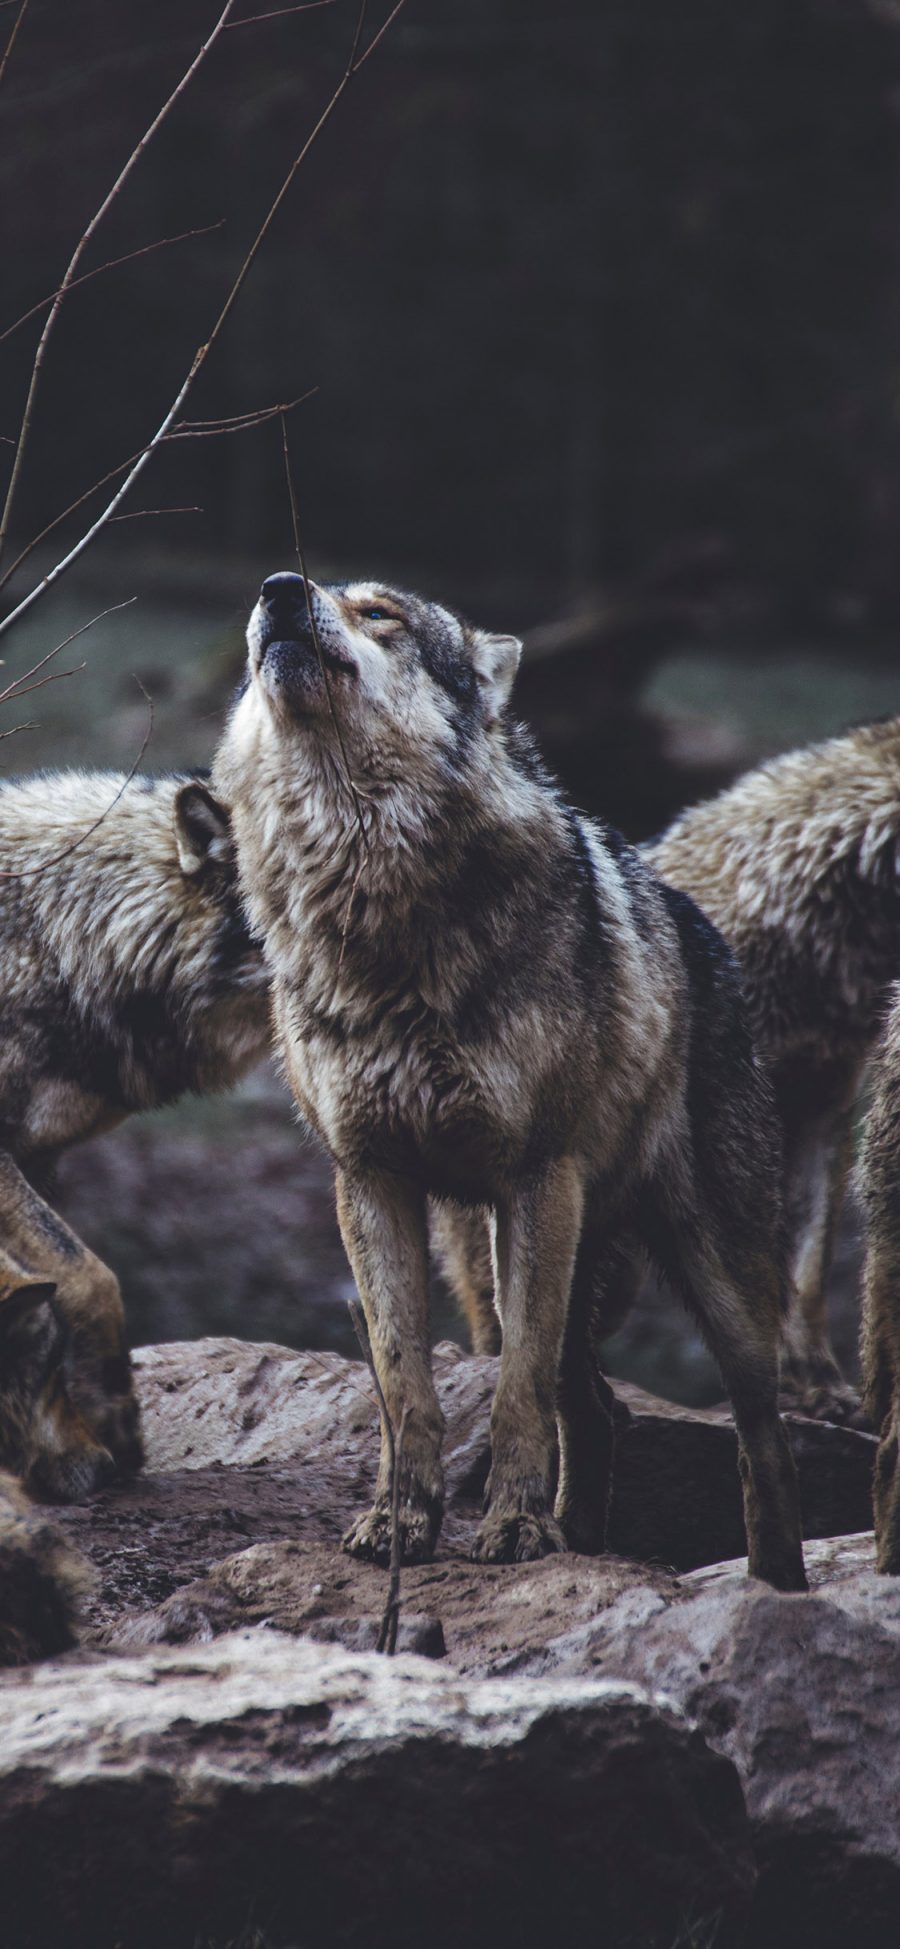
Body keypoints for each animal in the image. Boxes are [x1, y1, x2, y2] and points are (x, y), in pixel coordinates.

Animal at [218, 569, 810, 1590]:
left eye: (381, 614)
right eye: (301, 591)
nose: (280, 588)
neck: (371, 903)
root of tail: (699, 922)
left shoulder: (536, 1176)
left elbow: (515, 1391)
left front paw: (515, 1529)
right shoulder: (369, 1180)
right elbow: (404, 1383)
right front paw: (402, 1522)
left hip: (710, 1275)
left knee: (759, 1433)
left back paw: (776, 1585)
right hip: (510, 1251)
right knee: (602, 1408)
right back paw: (582, 1538)